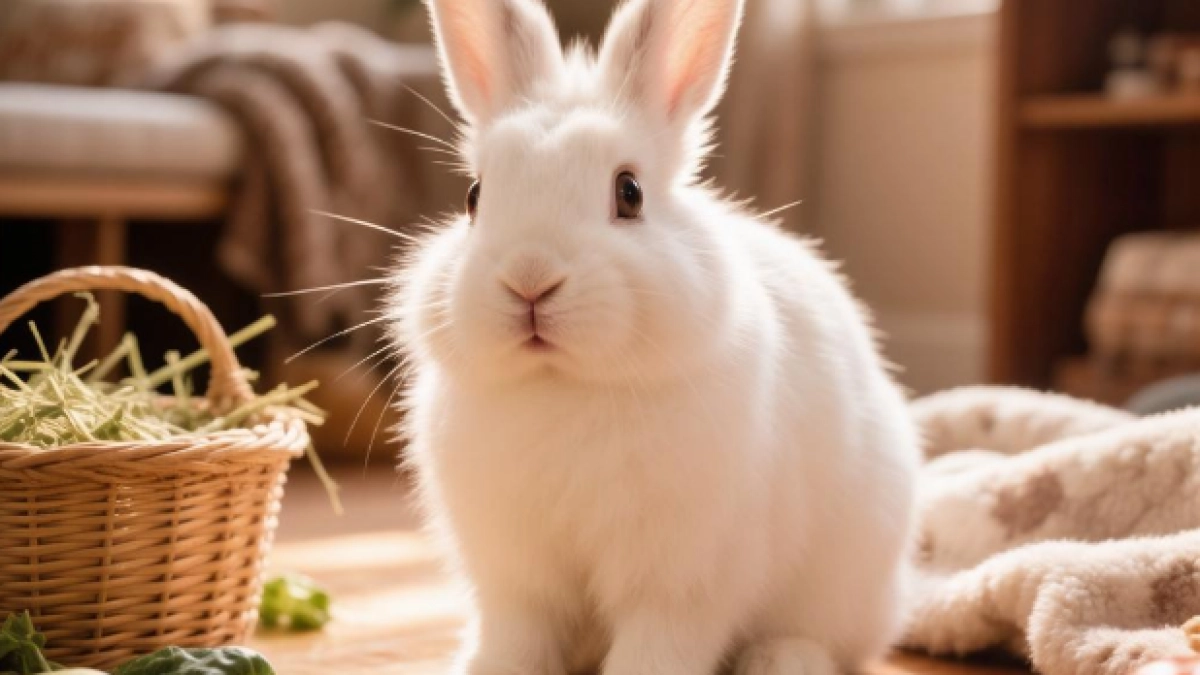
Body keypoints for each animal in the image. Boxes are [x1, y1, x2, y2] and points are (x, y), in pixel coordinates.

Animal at [388, 0, 921, 673]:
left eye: (629, 192)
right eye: (474, 197)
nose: (529, 278)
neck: (565, 385)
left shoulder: (682, 579)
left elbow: (657, 643)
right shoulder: (517, 579)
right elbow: (518, 636)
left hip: (845, 582)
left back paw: (783, 659)